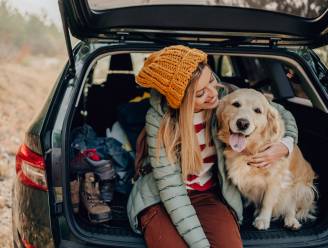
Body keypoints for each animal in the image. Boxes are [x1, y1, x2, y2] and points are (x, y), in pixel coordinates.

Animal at [217, 88, 316, 230]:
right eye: (236, 104)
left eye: (258, 110)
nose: (242, 123)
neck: (250, 150)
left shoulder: (275, 179)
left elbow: (267, 201)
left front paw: (263, 219)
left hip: (301, 187)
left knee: (291, 204)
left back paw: (291, 220)